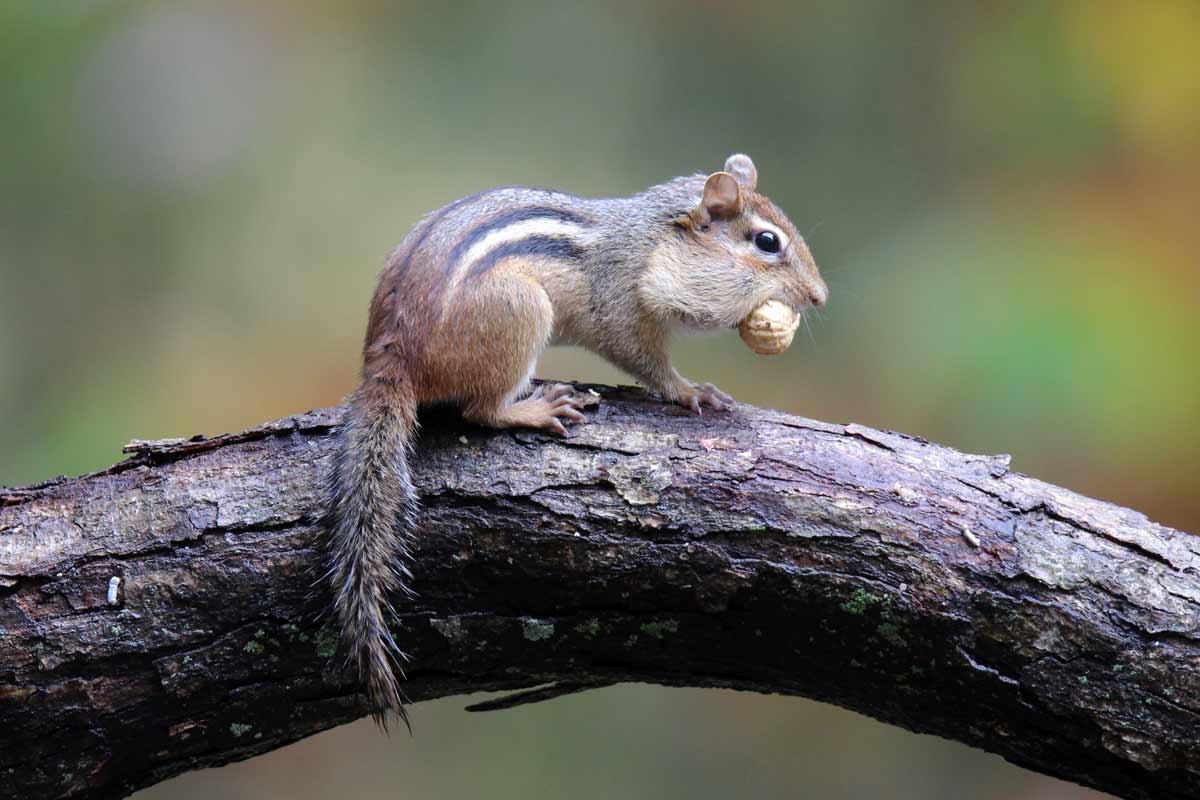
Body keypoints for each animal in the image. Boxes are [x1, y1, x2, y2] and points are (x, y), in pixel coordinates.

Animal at [325, 154, 827, 727]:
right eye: (767, 242)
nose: (819, 296)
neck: (650, 244)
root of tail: (390, 360)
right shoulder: (623, 312)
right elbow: (648, 364)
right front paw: (690, 391)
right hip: (521, 312)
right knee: (482, 410)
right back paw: (536, 408)